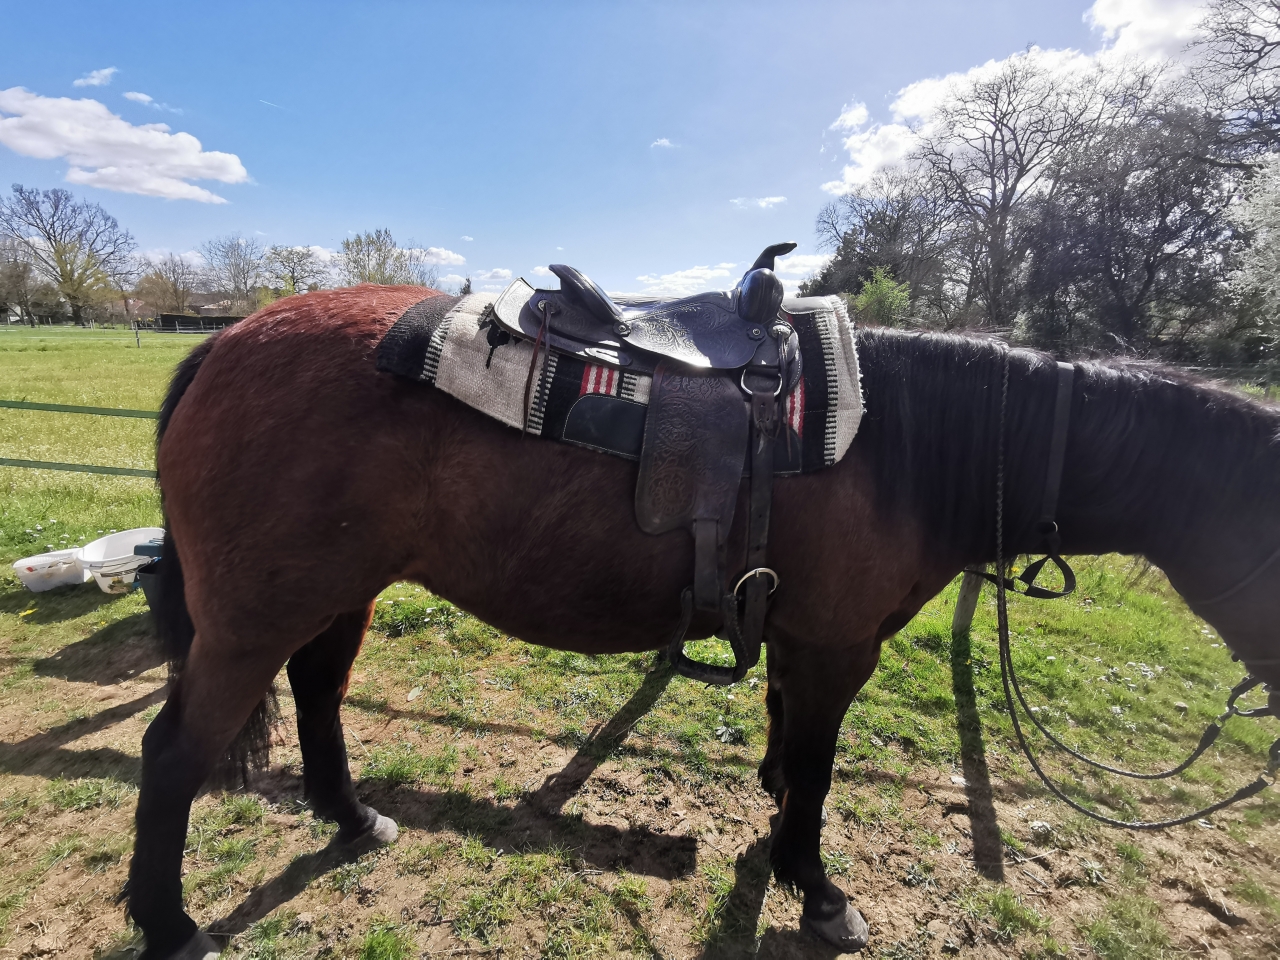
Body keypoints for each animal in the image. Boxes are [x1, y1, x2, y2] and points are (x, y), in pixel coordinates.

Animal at [128, 284, 1280, 958]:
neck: (904, 441)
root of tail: (226, 343)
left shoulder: (801, 639)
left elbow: (785, 743)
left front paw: (777, 825)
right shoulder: (834, 647)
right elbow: (814, 770)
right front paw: (816, 889)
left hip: (336, 588)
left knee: (317, 691)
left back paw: (350, 817)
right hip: (253, 612)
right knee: (174, 751)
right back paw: (168, 921)